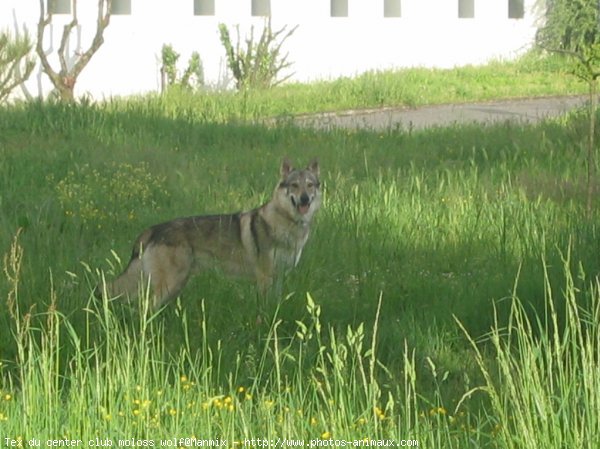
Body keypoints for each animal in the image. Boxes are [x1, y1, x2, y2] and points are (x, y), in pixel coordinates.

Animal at [97, 158, 324, 308]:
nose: (304, 199)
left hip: (175, 285)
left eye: (310, 185)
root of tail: (153, 229)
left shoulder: (279, 277)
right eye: (294, 185)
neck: (287, 223)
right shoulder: (264, 278)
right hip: (170, 284)